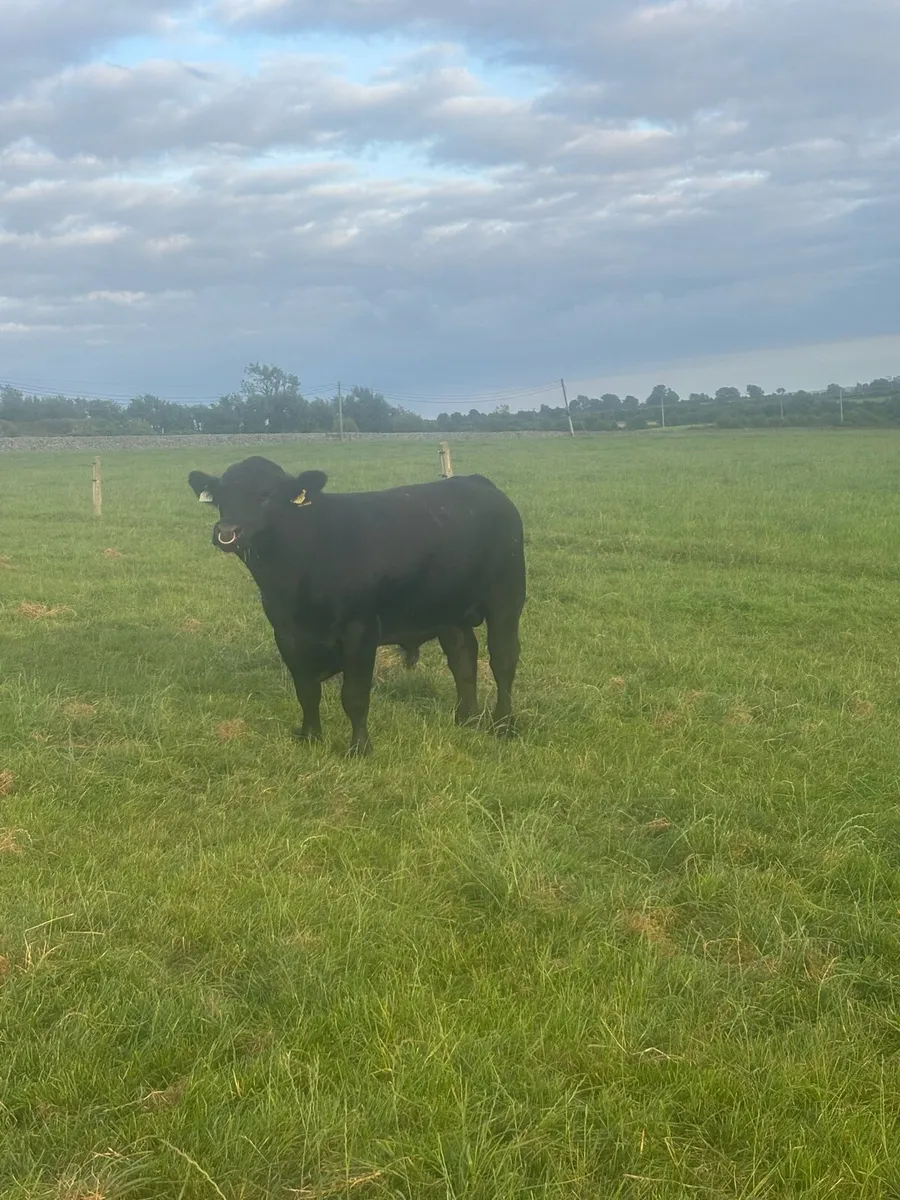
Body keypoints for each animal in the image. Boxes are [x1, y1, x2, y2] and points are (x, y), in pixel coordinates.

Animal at [187, 456, 525, 755]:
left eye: (265, 495)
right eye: (221, 497)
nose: (226, 532)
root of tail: (477, 482)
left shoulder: (360, 630)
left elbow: (354, 696)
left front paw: (360, 748)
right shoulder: (286, 633)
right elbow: (306, 690)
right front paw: (310, 737)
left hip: (506, 597)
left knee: (503, 660)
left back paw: (503, 725)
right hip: (449, 610)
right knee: (463, 659)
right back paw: (467, 719)